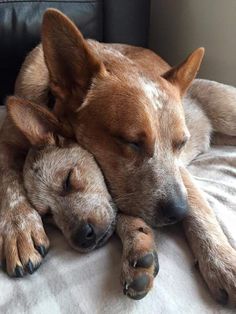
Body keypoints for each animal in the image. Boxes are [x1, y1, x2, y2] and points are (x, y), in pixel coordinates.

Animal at [1, 9, 236, 304]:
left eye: (181, 144)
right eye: (131, 142)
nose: (177, 213)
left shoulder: (178, 174)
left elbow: (199, 213)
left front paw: (222, 263)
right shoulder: (8, 139)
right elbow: (9, 182)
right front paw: (19, 228)